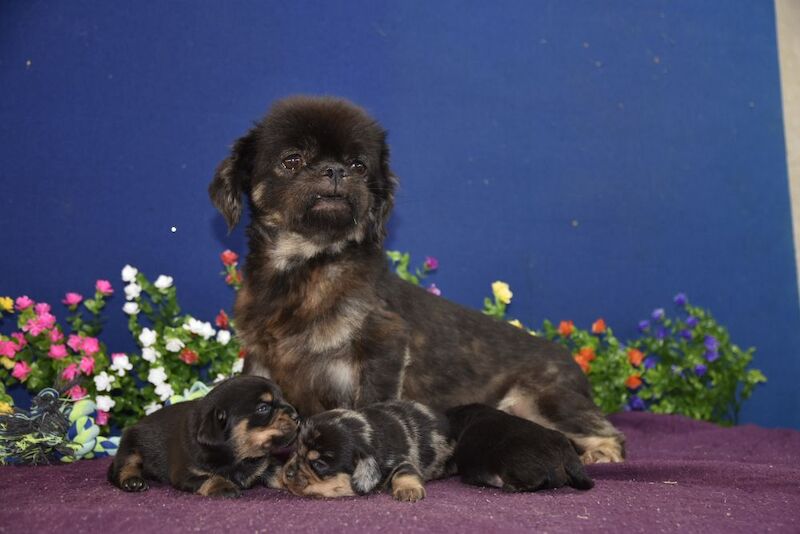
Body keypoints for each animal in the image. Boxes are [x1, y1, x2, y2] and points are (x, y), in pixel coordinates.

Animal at [108, 376, 298, 498]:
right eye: (263, 408)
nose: (297, 416)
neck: (238, 455)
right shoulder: (186, 473)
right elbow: (210, 477)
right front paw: (224, 486)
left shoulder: (266, 464)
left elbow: (281, 471)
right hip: (130, 444)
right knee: (124, 467)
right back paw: (133, 481)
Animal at [208, 95, 624, 464]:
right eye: (292, 160)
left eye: (359, 166)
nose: (335, 170)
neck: (305, 267)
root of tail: (574, 366)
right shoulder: (261, 359)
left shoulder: (384, 347)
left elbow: (371, 408)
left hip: (543, 401)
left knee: (611, 434)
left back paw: (601, 454)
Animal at [278, 402, 454, 502]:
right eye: (296, 451)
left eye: (319, 464)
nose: (287, 473)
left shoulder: (402, 460)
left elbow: (404, 471)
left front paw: (408, 490)